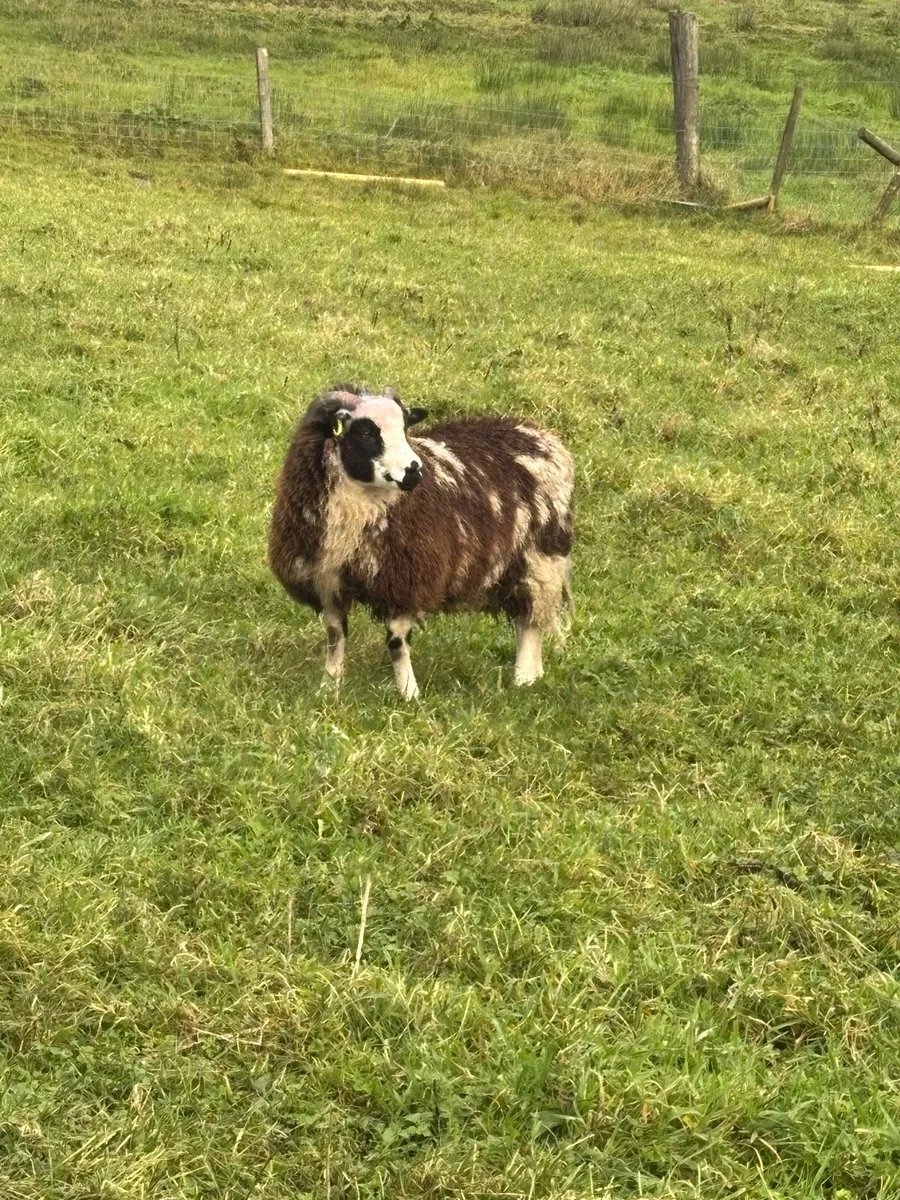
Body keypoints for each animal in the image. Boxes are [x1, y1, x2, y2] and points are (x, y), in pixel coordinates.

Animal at [268, 385, 574, 698]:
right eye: (366, 432)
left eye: (405, 427)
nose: (414, 469)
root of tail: (538, 433)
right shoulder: (327, 582)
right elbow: (335, 636)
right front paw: (329, 687)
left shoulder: (407, 580)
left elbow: (396, 642)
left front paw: (408, 694)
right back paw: (534, 675)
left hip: (539, 560)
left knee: (530, 621)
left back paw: (524, 678)